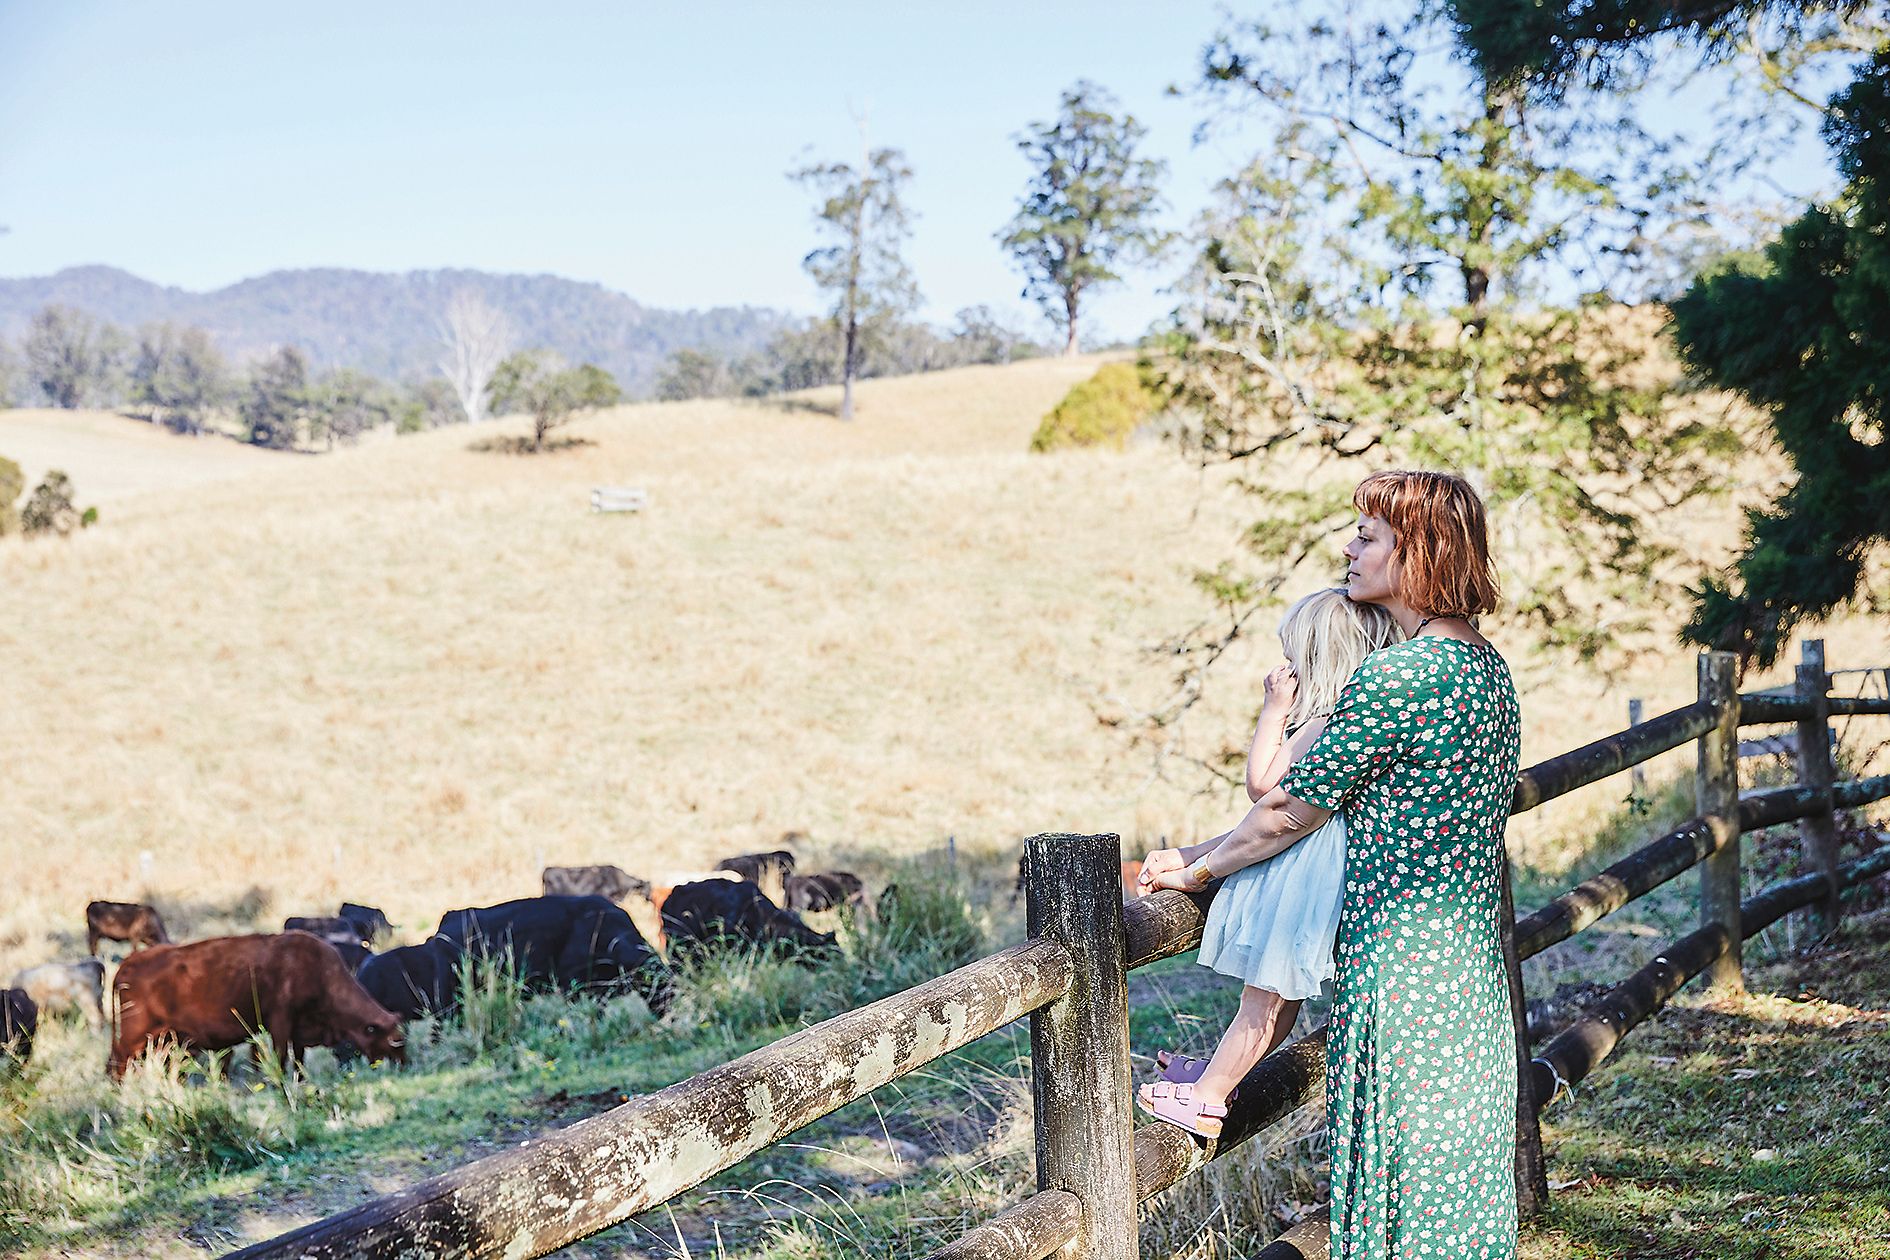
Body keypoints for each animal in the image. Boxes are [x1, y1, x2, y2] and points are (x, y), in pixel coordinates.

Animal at [108, 933, 406, 1080]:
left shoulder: (297, 1030)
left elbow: (297, 1058)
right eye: (393, 1040)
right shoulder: (280, 1023)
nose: (405, 1064)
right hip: (136, 1035)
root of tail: (127, 964)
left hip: (163, 1041)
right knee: (117, 1062)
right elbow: (280, 1056)